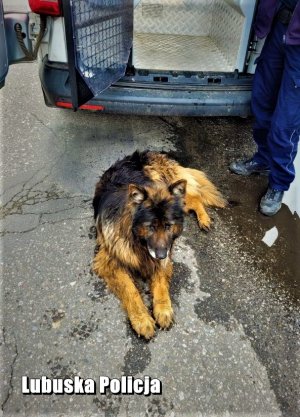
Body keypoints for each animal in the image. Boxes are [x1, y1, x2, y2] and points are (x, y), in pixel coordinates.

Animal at [93, 150, 225, 338]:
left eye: (168, 226)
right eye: (150, 227)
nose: (162, 255)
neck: (136, 241)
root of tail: (153, 153)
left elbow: (161, 283)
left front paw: (163, 309)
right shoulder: (109, 261)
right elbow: (130, 290)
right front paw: (142, 319)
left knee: (196, 198)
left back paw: (204, 218)